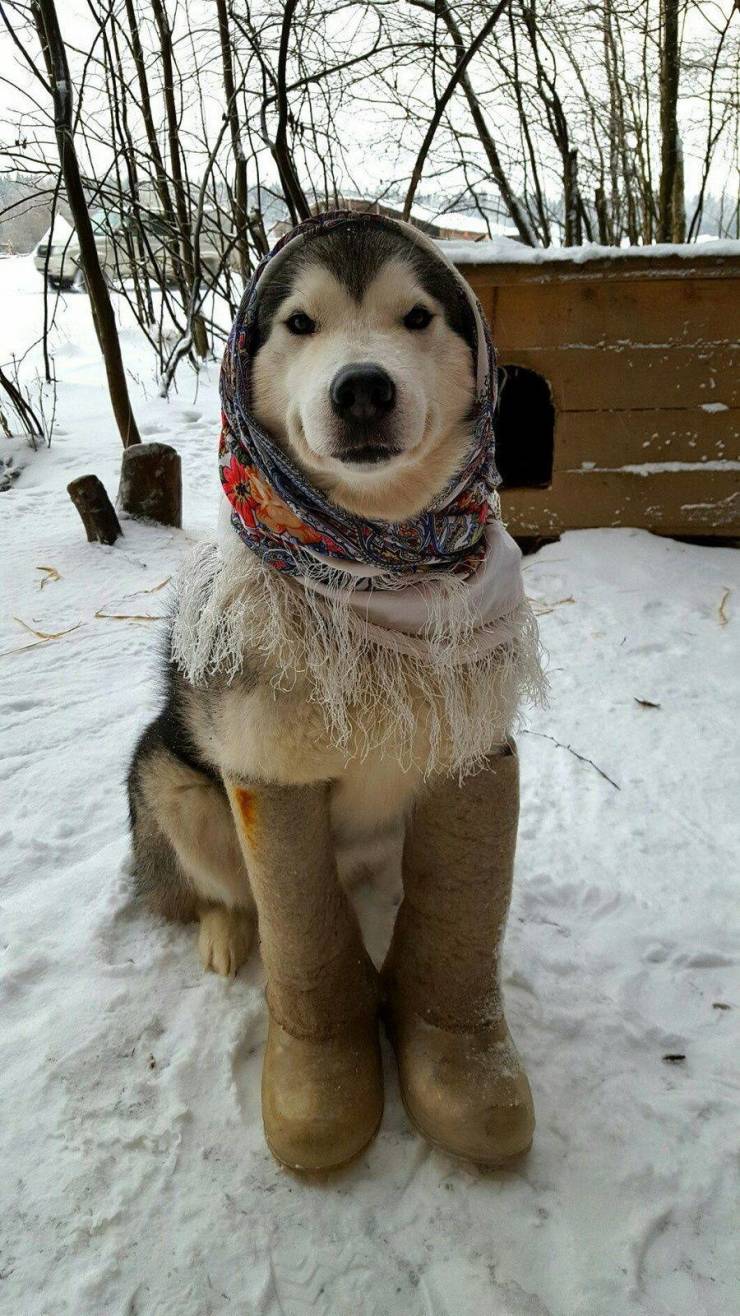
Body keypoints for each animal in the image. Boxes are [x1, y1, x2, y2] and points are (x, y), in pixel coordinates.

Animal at [129, 215, 539, 1173]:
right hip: (169, 781)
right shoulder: (266, 769)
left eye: (417, 316)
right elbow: (299, 926)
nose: (361, 389)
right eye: (300, 324)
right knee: (222, 888)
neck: (377, 568)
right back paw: (224, 932)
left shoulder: (474, 747)